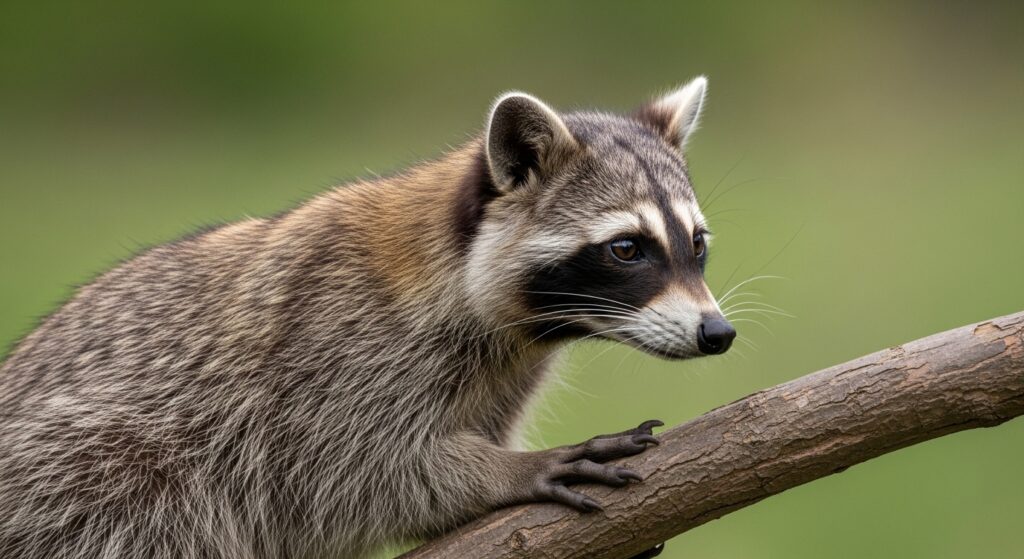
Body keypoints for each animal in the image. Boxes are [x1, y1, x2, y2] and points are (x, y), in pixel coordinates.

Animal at [0, 76, 734, 559]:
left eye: (697, 244)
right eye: (627, 248)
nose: (717, 333)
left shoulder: (500, 373)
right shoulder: (333, 345)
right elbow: (348, 476)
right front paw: (508, 471)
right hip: (77, 471)